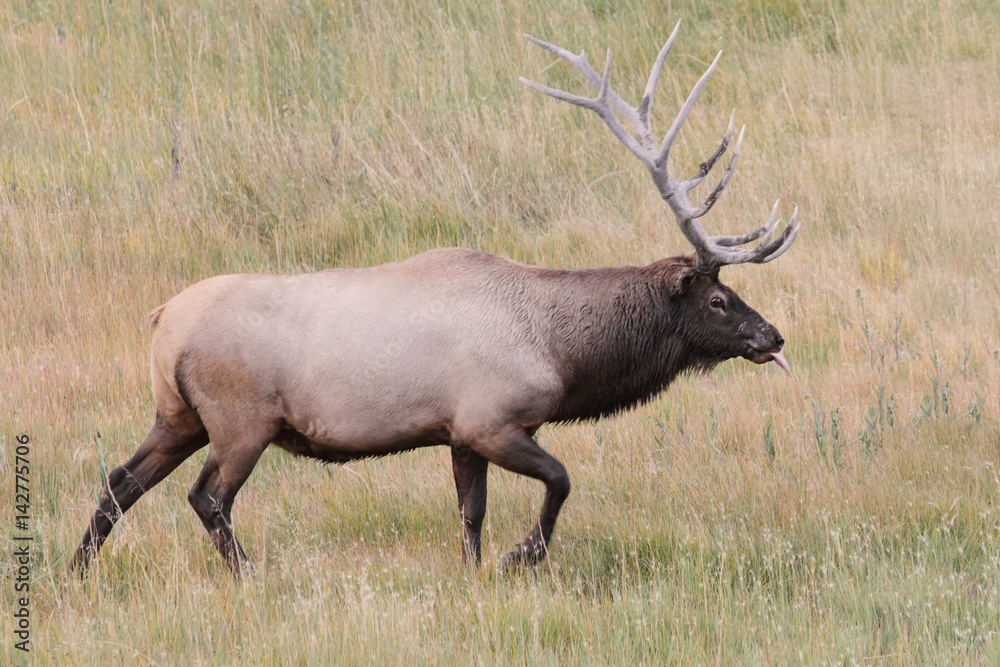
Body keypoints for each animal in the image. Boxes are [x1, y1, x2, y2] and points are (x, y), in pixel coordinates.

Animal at [70, 19, 800, 576]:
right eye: (718, 300)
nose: (773, 336)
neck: (561, 352)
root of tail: (161, 321)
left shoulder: (458, 433)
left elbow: (470, 513)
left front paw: (475, 571)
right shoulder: (492, 419)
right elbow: (560, 479)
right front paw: (521, 555)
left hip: (177, 415)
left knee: (118, 481)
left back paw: (76, 571)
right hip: (240, 418)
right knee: (207, 497)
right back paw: (248, 572)